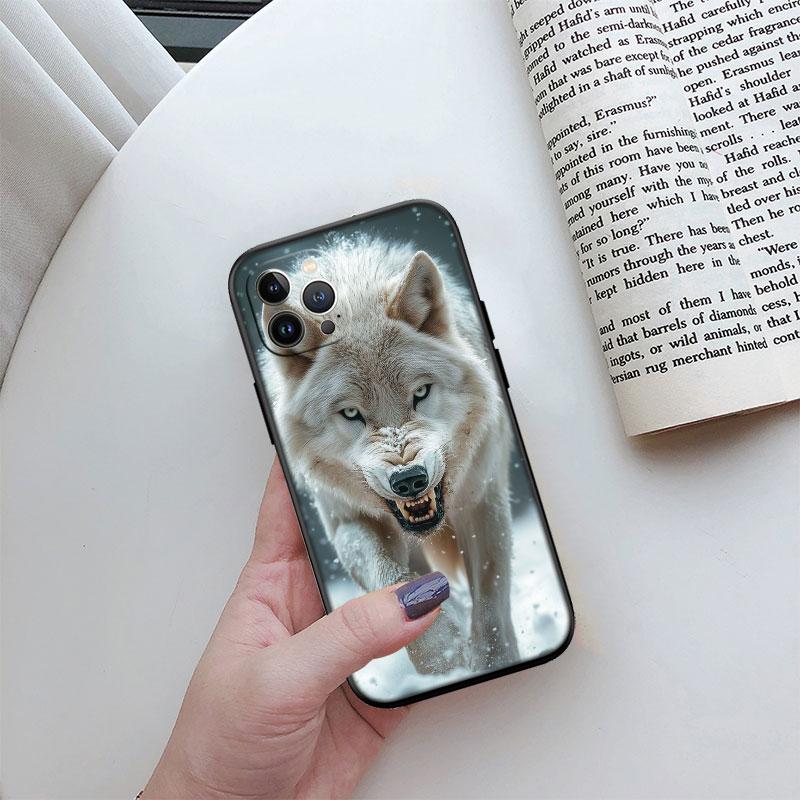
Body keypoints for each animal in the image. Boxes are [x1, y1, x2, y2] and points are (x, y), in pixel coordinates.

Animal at [263, 235, 519, 674]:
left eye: (421, 393)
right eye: (352, 414)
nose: (409, 479)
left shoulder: (484, 499)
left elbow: (491, 604)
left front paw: (492, 661)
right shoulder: (348, 520)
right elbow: (389, 575)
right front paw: (441, 651)